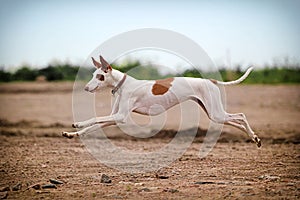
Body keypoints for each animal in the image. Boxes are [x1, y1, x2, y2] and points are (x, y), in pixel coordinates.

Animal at [62, 55, 260, 148]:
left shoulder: (121, 117)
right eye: (93, 75)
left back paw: (254, 136)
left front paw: (78, 123)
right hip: (213, 113)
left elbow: (94, 119)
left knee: (241, 115)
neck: (123, 84)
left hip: (215, 113)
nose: (86, 88)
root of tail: (211, 81)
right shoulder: (114, 118)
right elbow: (93, 127)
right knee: (238, 120)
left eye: (100, 76)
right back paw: (254, 138)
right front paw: (72, 134)